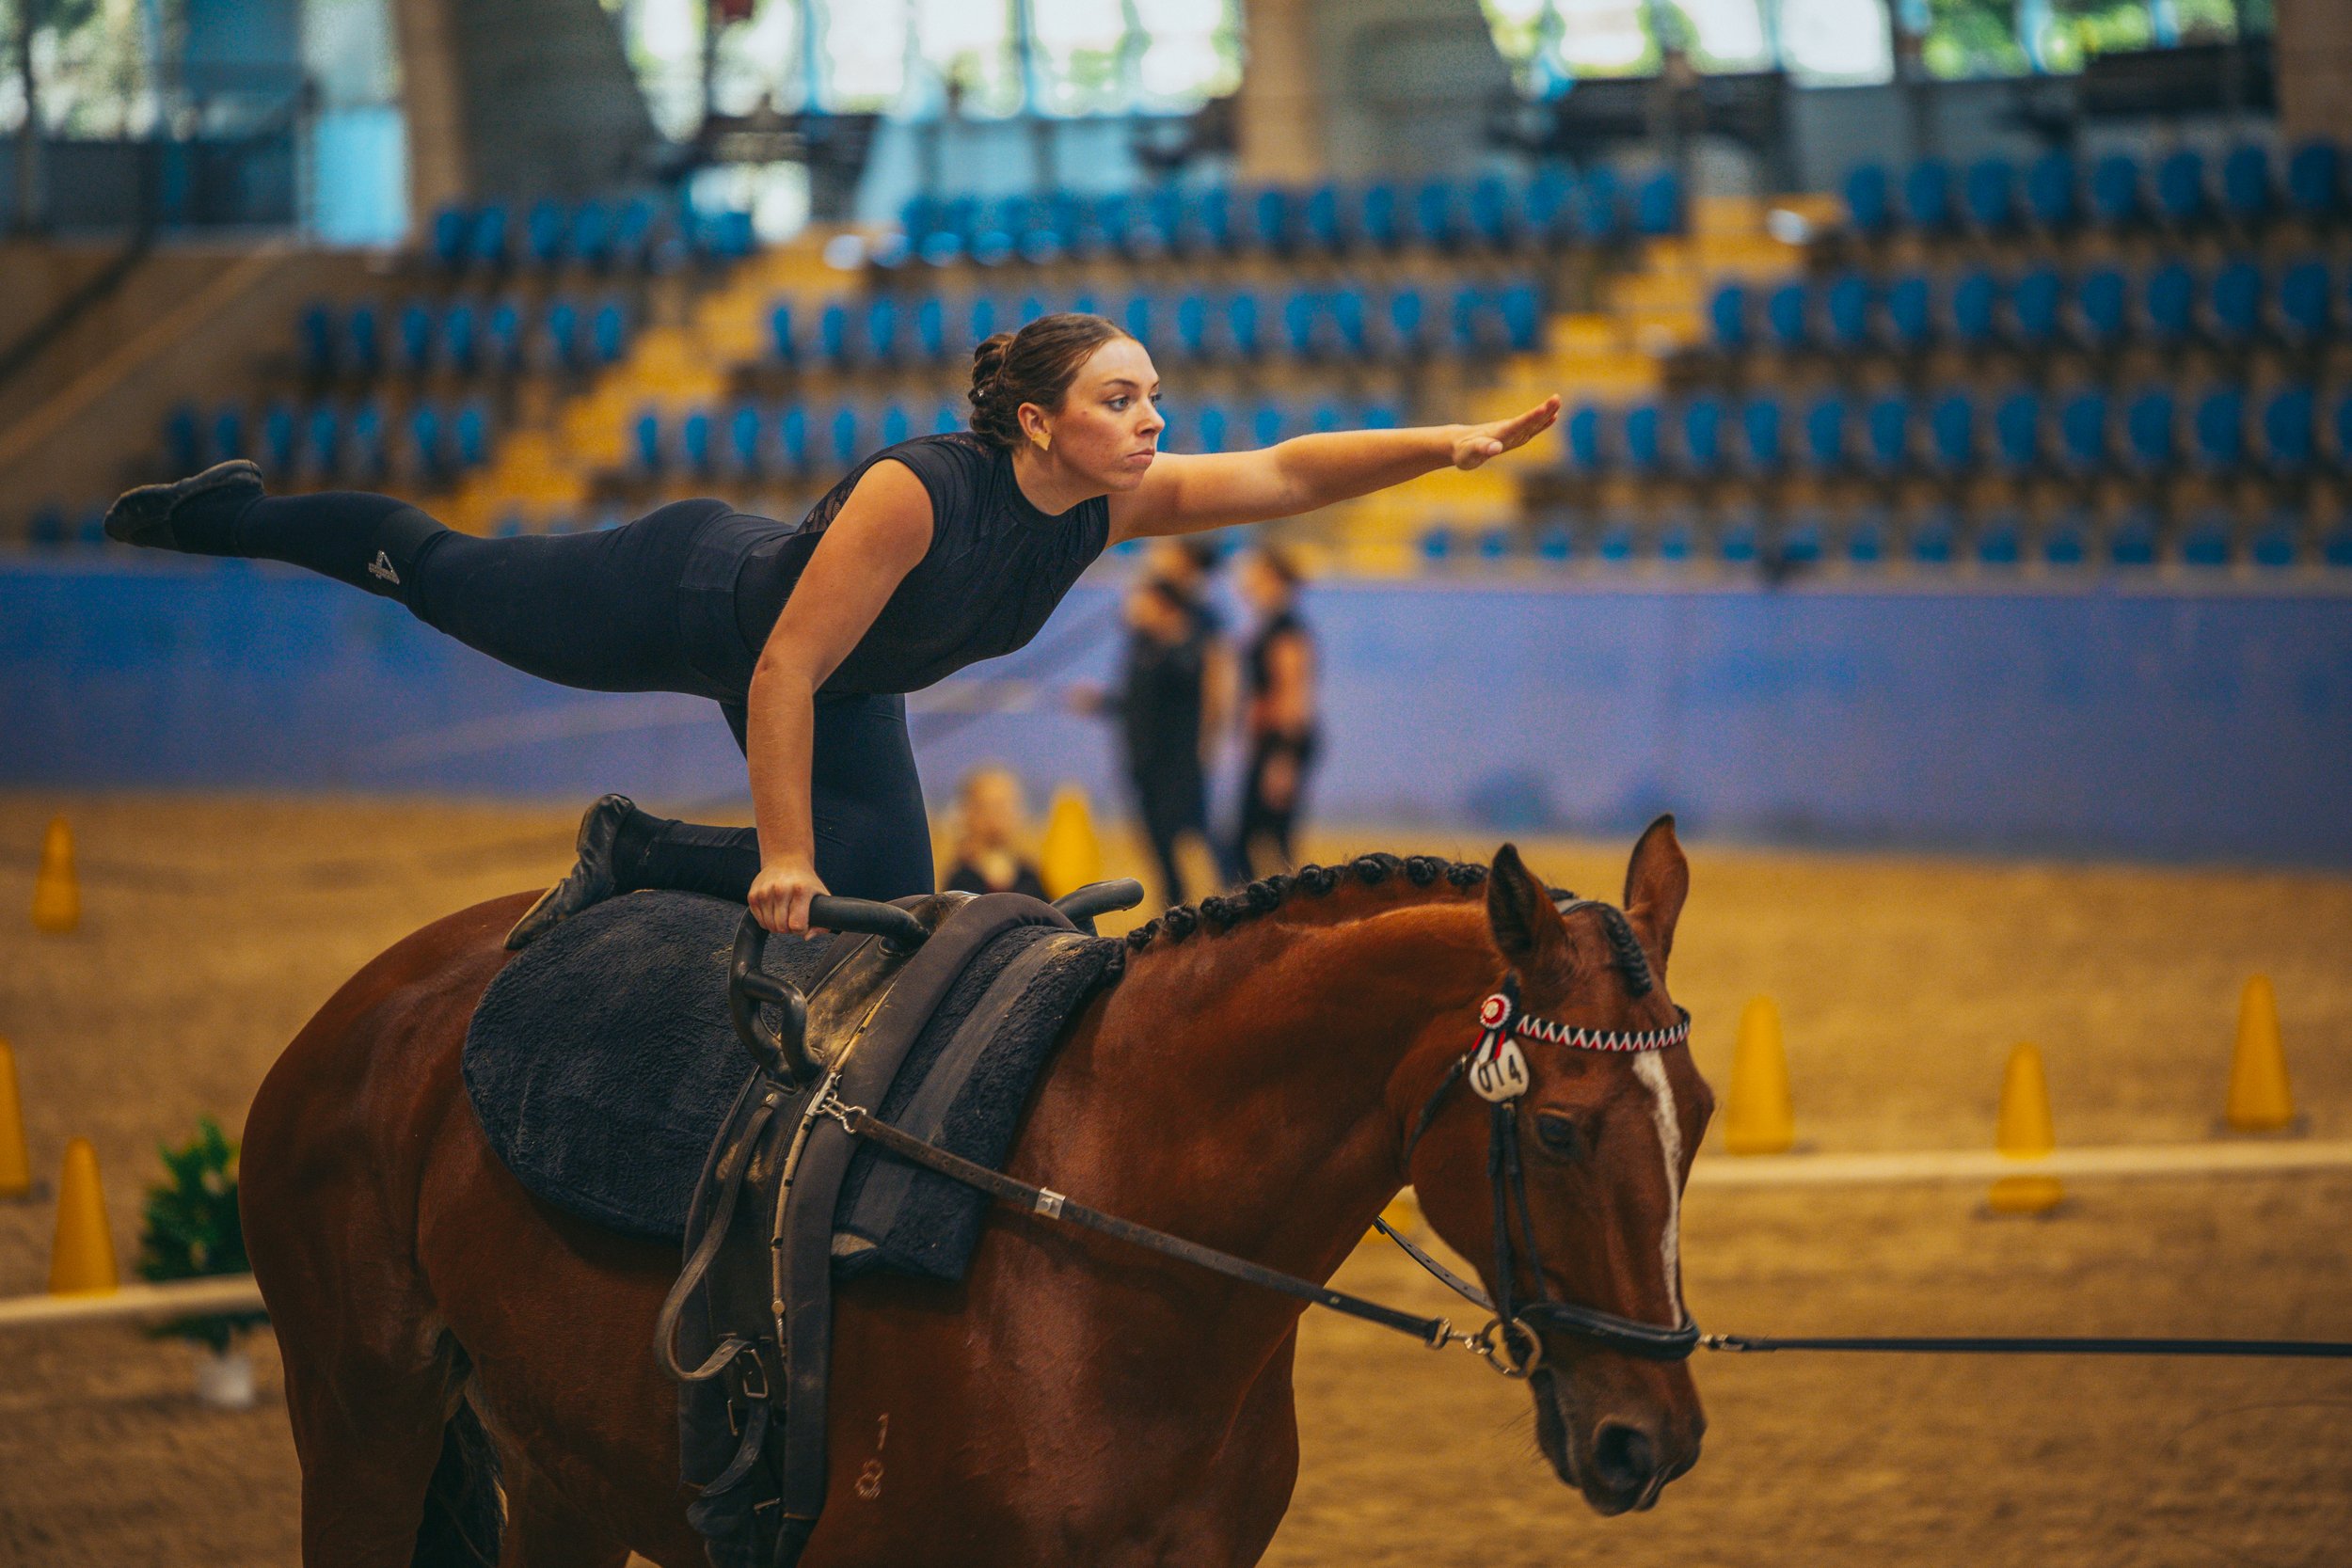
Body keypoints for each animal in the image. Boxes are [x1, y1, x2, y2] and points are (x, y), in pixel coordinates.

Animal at [240, 819, 1710, 1567]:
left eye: (1693, 1117)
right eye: (1561, 1131)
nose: (1652, 1437)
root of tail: (380, 997)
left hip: (562, 1470)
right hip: (365, 1431)